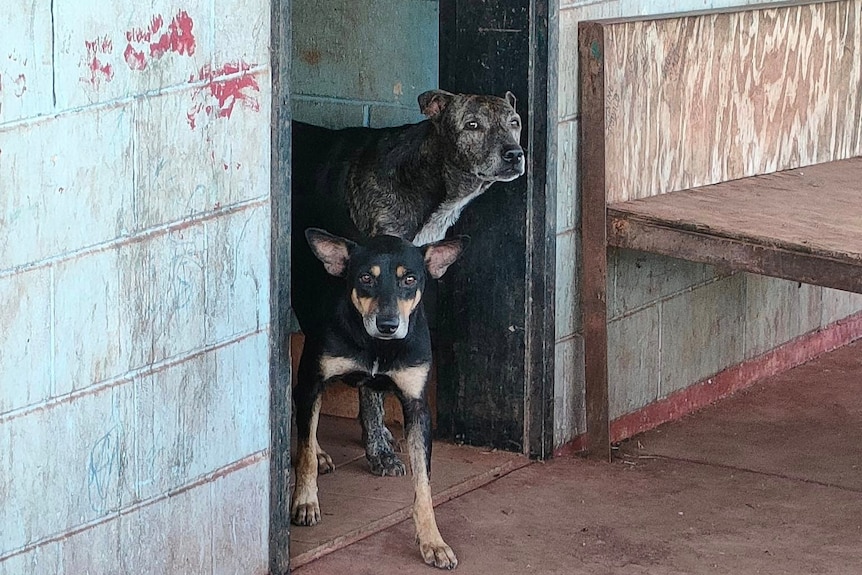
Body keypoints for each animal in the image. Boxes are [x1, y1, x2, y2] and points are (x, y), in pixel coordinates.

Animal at [292, 89, 528, 476]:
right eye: (472, 125)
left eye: (515, 122)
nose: (514, 154)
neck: (424, 179)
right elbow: (370, 389)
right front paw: (378, 450)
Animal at [292, 227, 470, 568]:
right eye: (365, 277)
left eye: (410, 279)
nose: (388, 324)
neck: (377, 344)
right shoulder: (311, 380)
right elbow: (305, 453)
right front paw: (305, 501)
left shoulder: (417, 408)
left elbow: (424, 482)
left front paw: (433, 541)